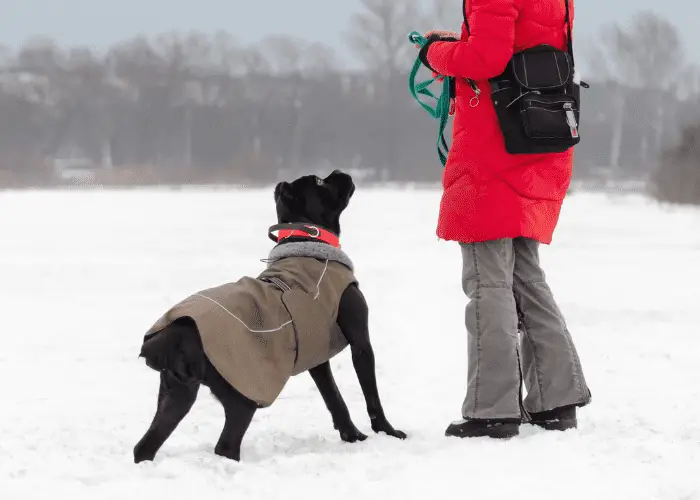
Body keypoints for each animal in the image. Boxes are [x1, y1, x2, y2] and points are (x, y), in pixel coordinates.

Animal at [133, 170, 404, 462]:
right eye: (320, 182)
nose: (341, 172)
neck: (307, 240)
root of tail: (170, 335)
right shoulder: (360, 341)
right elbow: (371, 395)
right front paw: (389, 432)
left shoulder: (315, 353)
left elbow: (334, 398)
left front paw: (352, 437)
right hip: (242, 395)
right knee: (225, 446)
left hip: (177, 393)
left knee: (144, 446)